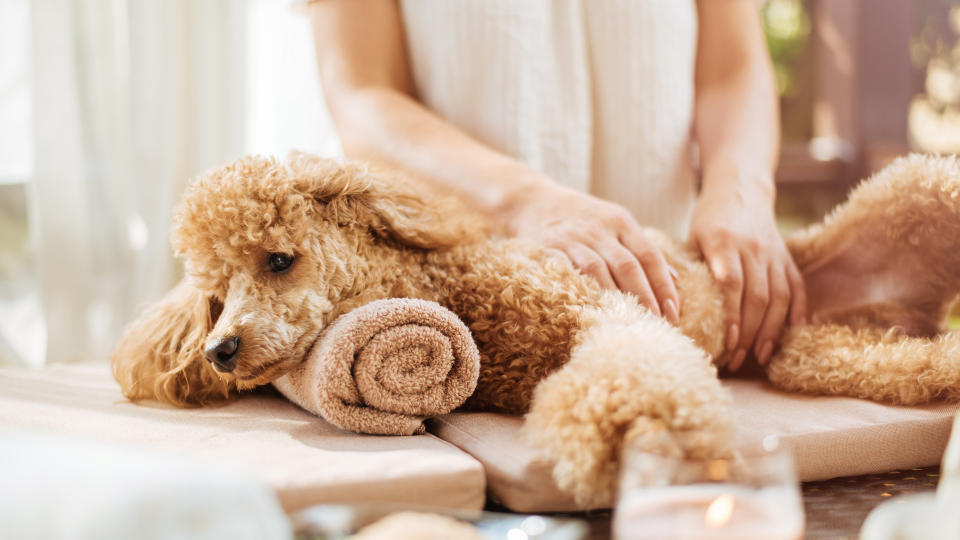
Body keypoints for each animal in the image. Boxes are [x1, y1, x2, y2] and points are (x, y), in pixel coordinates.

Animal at [116, 152, 960, 506]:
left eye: (279, 259)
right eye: (215, 292)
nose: (221, 350)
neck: (453, 287)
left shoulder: (609, 313)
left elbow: (631, 369)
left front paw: (630, 433)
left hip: (927, 186)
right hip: (817, 352)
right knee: (908, 360)